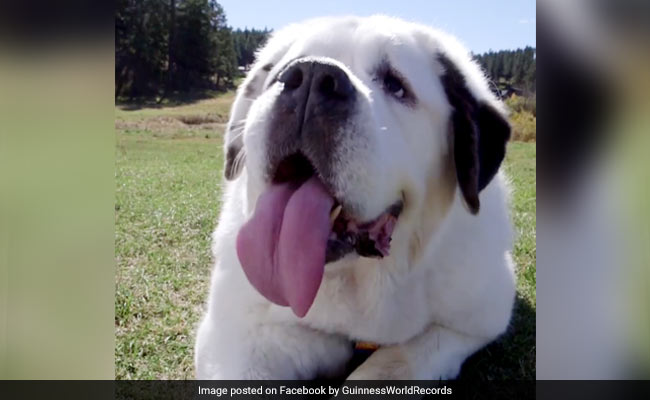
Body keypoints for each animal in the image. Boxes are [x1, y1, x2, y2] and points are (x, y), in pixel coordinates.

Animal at [195, 14, 512, 378]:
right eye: (282, 72)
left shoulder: (475, 321)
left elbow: (398, 360)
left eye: (395, 84)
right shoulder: (230, 333)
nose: (313, 75)